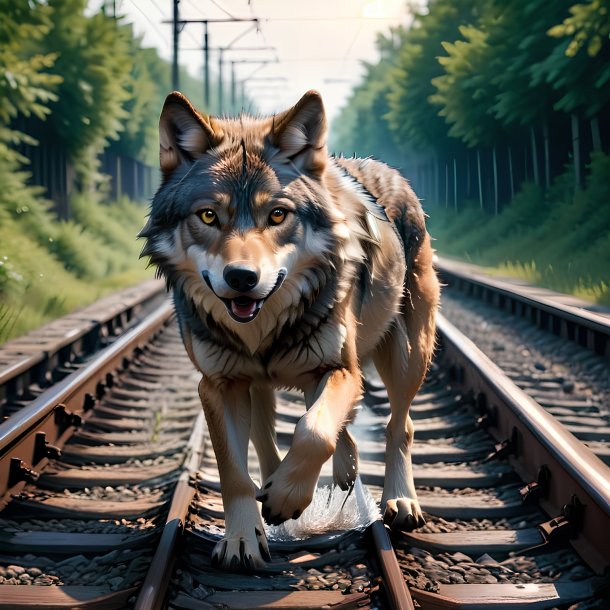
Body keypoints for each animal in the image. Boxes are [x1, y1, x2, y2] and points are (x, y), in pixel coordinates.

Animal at [141, 90, 440, 568]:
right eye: (208, 216)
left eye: (278, 214)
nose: (242, 277)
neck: (264, 329)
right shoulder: (219, 384)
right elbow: (235, 470)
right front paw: (242, 538)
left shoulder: (338, 368)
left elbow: (313, 431)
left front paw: (286, 499)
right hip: (260, 382)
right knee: (270, 442)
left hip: (408, 355)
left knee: (399, 426)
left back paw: (399, 501)